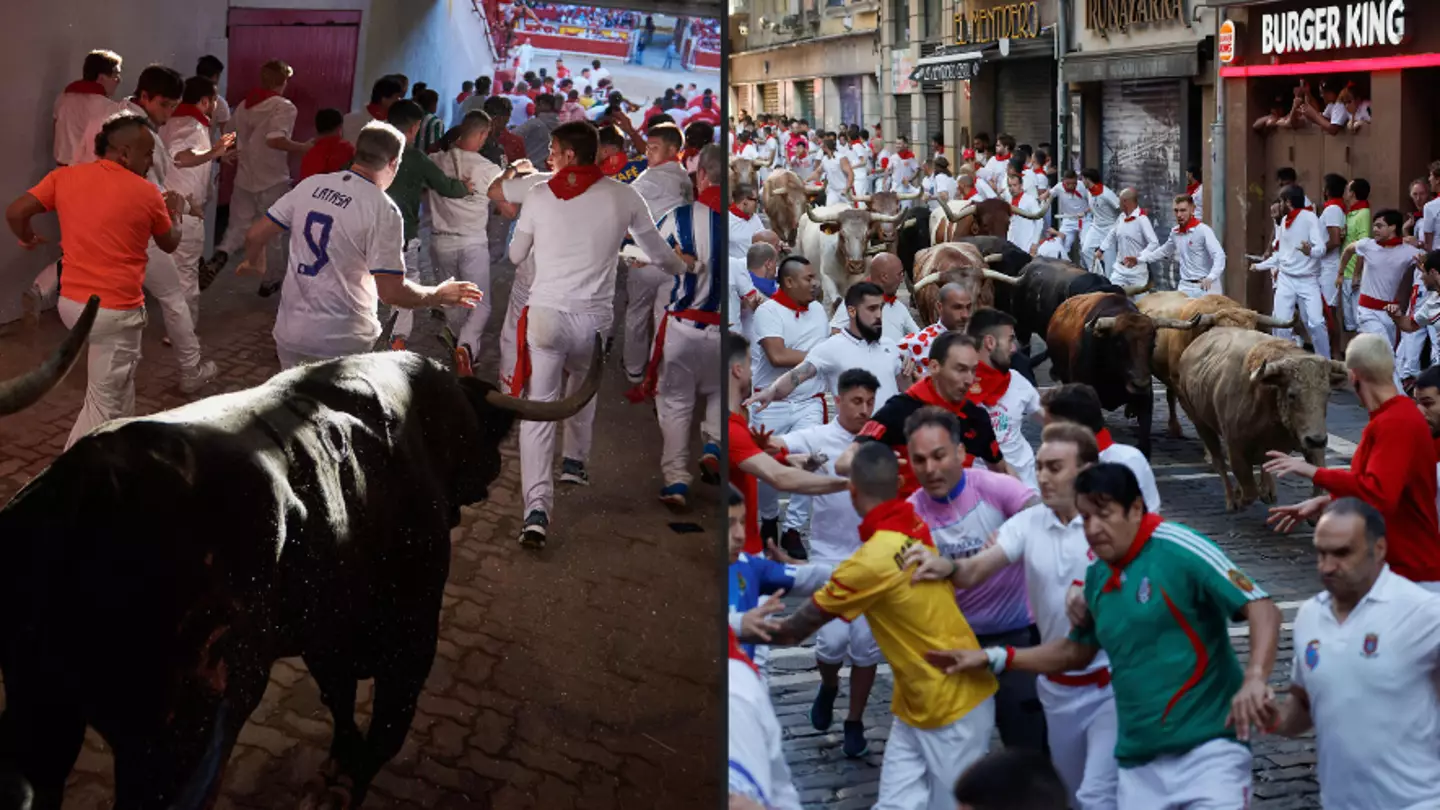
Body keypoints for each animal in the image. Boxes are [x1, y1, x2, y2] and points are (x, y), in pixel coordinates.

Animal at [0, 299, 601, 801]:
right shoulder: (412, 631)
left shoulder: (326, 628)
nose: (493, 466)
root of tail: (85, 486)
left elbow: (340, 698)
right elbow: (384, 731)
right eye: (482, 428)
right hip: (181, 736)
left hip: (42, 717)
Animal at [1180, 324, 1347, 507]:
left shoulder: (1309, 444)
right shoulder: (1235, 447)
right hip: (1200, 423)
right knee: (1219, 462)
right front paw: (1238, 498)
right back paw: (1232, 499)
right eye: (1291, 394)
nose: (1317, 440)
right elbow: (1248, 491)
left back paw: (1267, 492)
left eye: (1328, 393)